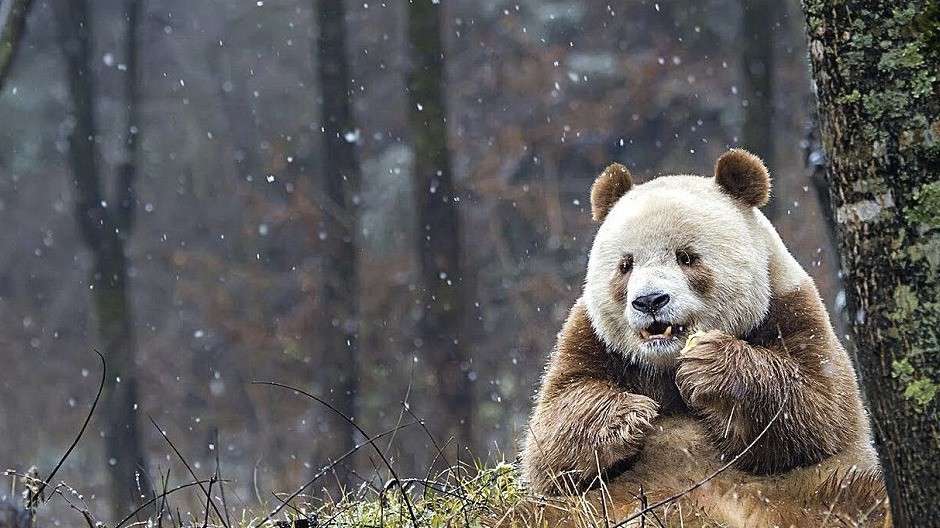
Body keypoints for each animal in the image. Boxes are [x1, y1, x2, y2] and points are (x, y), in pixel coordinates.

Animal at [512, 150, 886, 527]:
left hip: (811, 491)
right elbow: (552, 436)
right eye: (625, 265)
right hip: (581, 508)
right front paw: (630, 415)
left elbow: (817, 409)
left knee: (863, 496)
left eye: (686, 257)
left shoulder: (791, 310)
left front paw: (711, 366)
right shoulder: (591, 336)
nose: (650, 301)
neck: (665, 362)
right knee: (525, 513)